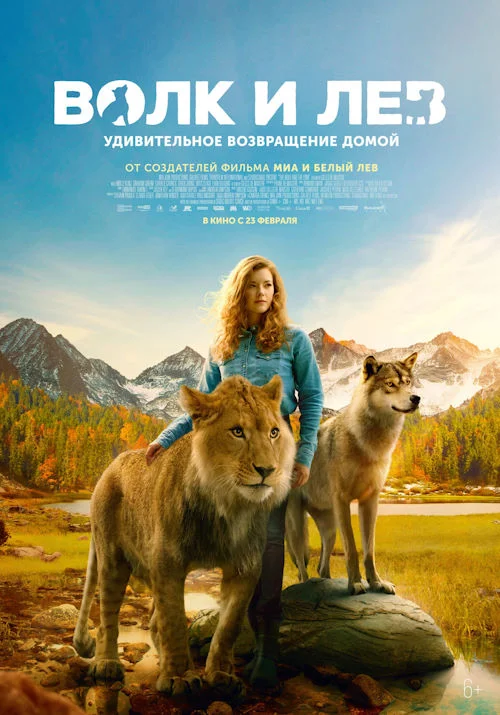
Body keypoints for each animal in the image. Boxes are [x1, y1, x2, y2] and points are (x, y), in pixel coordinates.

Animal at [73, 375, 295, 699]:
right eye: (237, 432)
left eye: (274, 433)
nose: (267, 469)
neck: (226, 505)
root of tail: (111, 465)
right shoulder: (167, 562)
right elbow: (175, 621)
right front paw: (179, 678)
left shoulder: (245, 567)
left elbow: (228, 625)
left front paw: (221, 676)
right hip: (112, 558)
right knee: (108, 616)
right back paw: (106, 664)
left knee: (153, 621)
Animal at [286, 353, 419, 595]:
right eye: (390, 384)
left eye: (407, 383)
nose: (416, 398)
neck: (370, 444)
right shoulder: (343, 500)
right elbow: (352, 549)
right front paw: (355, 583)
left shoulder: (370, 501)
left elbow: (369, 550)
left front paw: (377, 583)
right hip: (298, 529)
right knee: (302, 568)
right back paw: (307, 586)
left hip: (330, 528)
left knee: (322, 566)